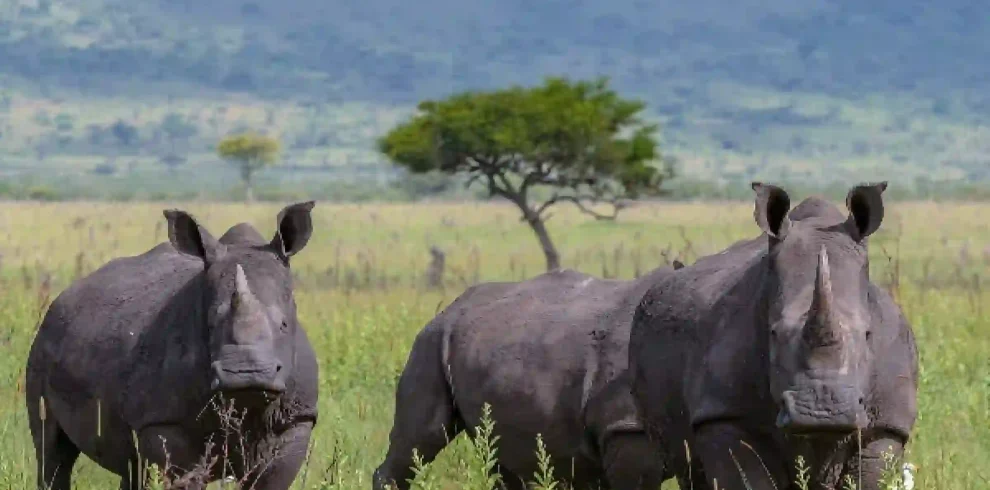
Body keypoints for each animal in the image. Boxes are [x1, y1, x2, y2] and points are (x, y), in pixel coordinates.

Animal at [25, 202, 320, 490]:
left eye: (284, 324)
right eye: (209, 324)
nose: (246, 373)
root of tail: (61, 299)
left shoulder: (295, 420)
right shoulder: (162, 422)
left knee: (129, 466)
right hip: (43, 343)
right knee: (52, 451)